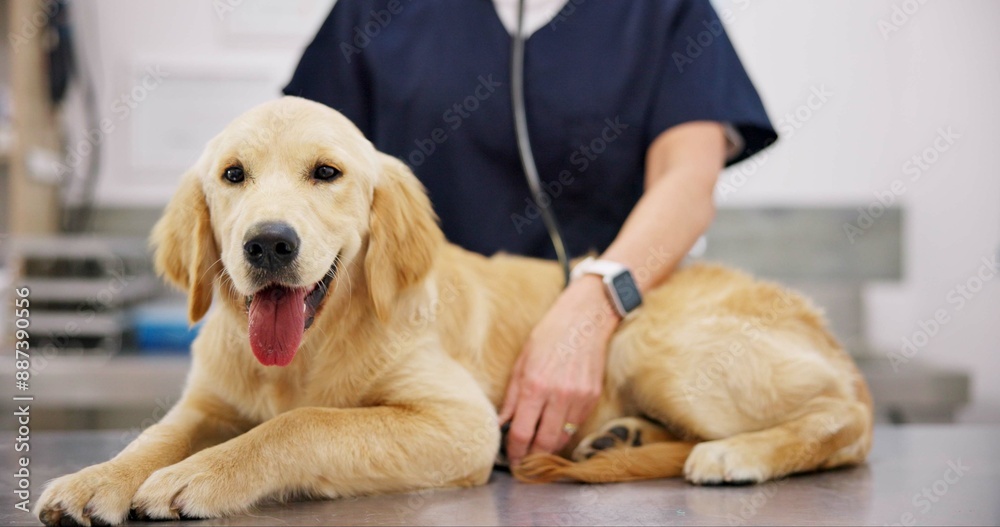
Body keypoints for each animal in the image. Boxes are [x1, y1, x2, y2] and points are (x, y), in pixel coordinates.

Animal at [35, 98, 872, 527]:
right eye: (232, 175)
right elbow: (154, 437)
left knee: (848, 422)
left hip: (649, 344)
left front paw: (200, 476)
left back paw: (739, 453)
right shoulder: (207, 401)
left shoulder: (462, 422)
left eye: (326, 173)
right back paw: (621, 437)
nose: (268, 242)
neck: (312, 345)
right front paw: (95, 478)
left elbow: (302, 423)